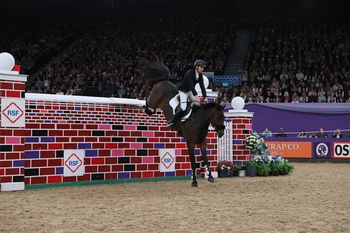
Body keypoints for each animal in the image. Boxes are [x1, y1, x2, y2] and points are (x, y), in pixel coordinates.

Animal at [141, 59, 226, 187]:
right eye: (217, 116)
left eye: (224, 117)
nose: (221, 133)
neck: (198, 122)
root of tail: (165, 81)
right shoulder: (190, 143)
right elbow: (193, 162)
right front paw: (194, 181)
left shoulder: (203, 142)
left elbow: (206, 159)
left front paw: (210, 177)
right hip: (153, 102)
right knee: (148, 103)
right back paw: (145, 93)